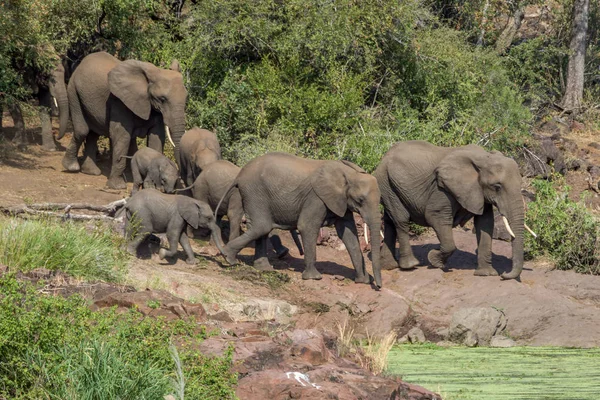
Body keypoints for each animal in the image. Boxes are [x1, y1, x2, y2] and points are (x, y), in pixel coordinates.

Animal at [61, 51, 185, 189]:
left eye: (186, 98)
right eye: (162, 99)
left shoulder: (154, 109)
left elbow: (156, 138)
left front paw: (154, 188)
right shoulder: (119, 102)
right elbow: (122, 137)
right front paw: (117, 186)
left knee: (93, 133)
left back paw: (91, 172)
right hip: (73, 91)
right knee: (82, 130)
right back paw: (71, 167)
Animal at [220, 152, 384, 288]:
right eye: (360, 200)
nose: (378, 286)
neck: (349, 174)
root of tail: (240, 174)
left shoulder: (340, 201)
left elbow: (349, 236)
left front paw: (362, 281)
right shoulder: (316, 198)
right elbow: (307, 226)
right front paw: (314, 278)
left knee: (262, 229)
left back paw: (263, 268)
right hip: (254, 192)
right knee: (262, 227)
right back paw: (228, 257)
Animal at [372, 141, 524, 282]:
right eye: (497, 186)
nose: (504, 275)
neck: (484, 158)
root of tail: (385, 156)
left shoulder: (479, 191)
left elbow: (485, 223)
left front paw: (486, 274)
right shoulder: (442, 189)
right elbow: (435, 216)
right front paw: (434, 260)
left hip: (388, 185)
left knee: (390, 221)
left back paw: (389, 265)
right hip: (386, 183)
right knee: (401, 220)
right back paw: (410, 265)